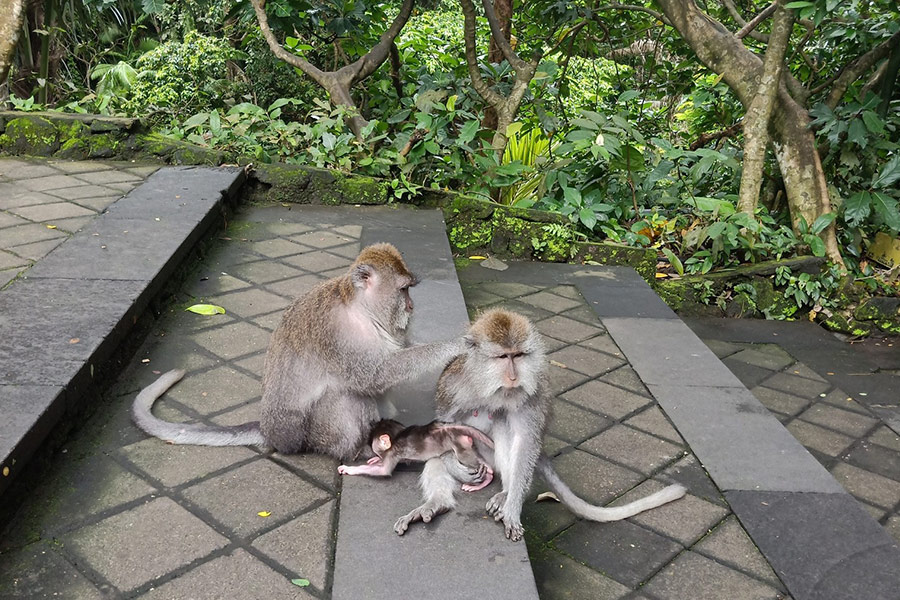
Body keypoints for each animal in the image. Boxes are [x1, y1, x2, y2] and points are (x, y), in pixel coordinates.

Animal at [132, 243, 469, 461]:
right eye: (403, 290)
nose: (411, 306)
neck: (361, 310)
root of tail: (271, 433)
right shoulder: (338, 335)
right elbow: (373, 376)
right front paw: (453, 345)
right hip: (308, 436)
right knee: (344, 396)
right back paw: (355, 451)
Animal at [337, 419, 495, 492]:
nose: (379, 456)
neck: (397, 435)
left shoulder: (393, 452)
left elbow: (383, 471)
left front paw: (349, 469)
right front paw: (375, 459)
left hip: (459, 445)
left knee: (468, 460)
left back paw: (485, 479)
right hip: (467, 444)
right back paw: (489, 469)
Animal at [394, 308, 687, 541]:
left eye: (519, 355)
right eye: (503, 357)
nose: (514, 376)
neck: (491, 389)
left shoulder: (531, 395)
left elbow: (525, 440)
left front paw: (513, 508)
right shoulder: (452, 388)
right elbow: (444, 426)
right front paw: (457, 467)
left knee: (505, 425)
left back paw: (506, 493)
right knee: (439, 456)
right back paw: (436, 504)